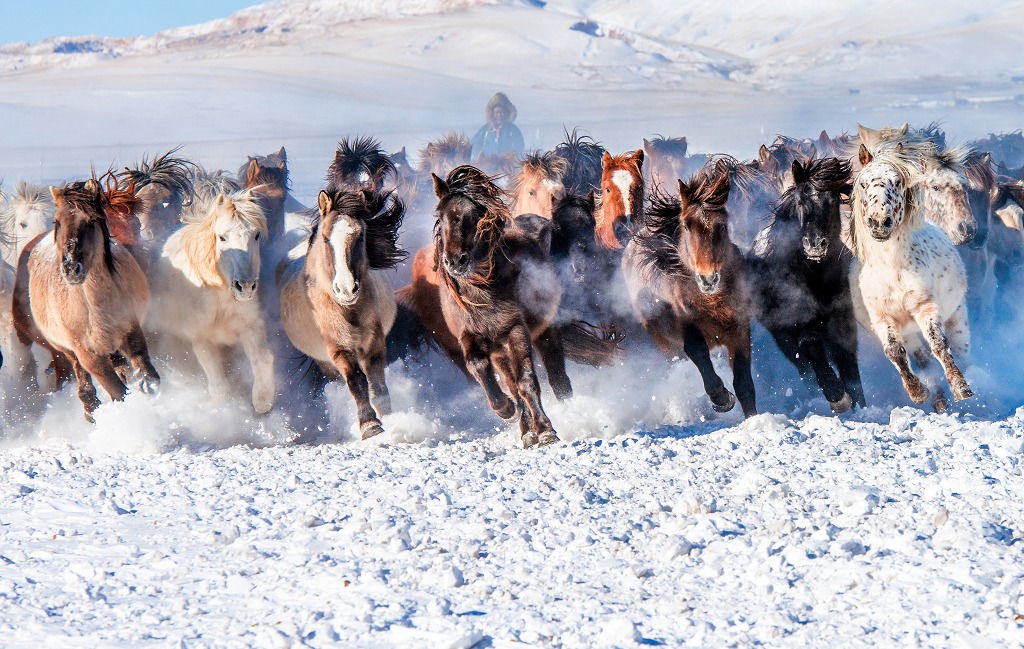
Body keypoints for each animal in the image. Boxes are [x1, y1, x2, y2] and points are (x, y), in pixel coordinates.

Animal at [25, 178, 158, 419]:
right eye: (57, 222)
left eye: (92, 220)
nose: (71, 268)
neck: (94, 307)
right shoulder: (88, 355)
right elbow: (118, 392)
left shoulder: (131, 331)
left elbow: (148, 376)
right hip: (67, 350)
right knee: (83, 380)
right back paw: (90, 409)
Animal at [147, 184, 276, 411]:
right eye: (222, 237)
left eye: (257, 235)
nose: (245, 287)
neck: (219, 297)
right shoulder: (201, 339)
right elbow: (219, 387)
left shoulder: (250, 326)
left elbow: (262, 362)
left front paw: (262, 403)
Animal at [618, 160, 757, 413]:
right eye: (686, 225)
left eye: (722, 226)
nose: (708, 278)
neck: (712, 303)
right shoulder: (686, 327)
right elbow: (699, 353)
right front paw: (722, 398)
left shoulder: (739, 328)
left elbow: (743, 382)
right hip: (664, 343)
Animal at [745, 156, 864, 409]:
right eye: (800, 201)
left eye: (833, 200)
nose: (815, 245)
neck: (813, 277)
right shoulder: (797, 326)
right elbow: (812, 351)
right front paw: (837, 396)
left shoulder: (842, 322)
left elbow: (850, 370)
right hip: (782, 337)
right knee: (805, 370)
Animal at [847, 142, 974, 411]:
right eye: (863, 183)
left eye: (897, 181)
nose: (879, 223)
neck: (891, 268)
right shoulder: (883, 319)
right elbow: (895, 353)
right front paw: (917, 393)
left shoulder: (926, 307)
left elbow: (939, 344)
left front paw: (960, 388)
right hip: (910, 334)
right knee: (922, 359)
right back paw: (938, 400)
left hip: (957, 314)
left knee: (961, 351)